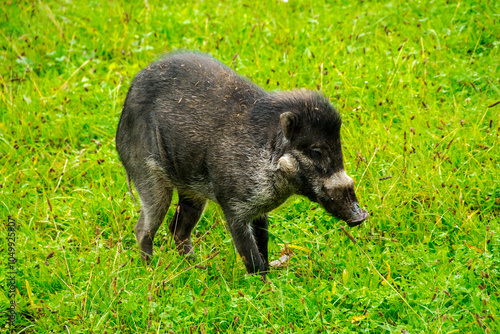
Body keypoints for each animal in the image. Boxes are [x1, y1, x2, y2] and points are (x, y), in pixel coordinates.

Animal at [116, 51, 368, 276]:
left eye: (339, 146)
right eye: (316, 151)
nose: (361, 216)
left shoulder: (259, 209)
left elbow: (263, 243)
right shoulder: (233, 206)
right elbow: (250, 254)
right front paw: (264, 286)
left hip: (191, 193)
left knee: (177, 230)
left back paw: (200, 269)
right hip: (147, 177)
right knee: (143, 228)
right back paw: (151, 270)